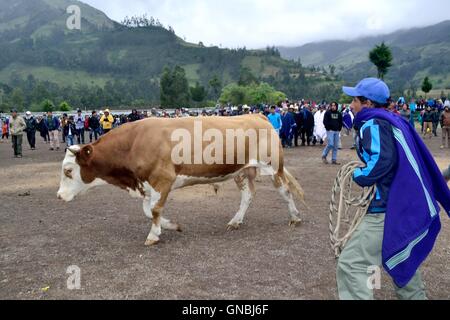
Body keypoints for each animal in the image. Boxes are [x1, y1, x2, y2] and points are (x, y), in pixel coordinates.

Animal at [57, 114, 306, 246]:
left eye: (68, 170)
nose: (59, 196)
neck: (133, 143)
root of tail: (258, 115)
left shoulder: (163, 179)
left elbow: (154, 210)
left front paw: (154, 235)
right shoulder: (147, 184)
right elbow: (148, 211)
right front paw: (171, 226)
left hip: (273, 167)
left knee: (285, 191)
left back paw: (295, 217)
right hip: (242, 172)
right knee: (247, 195)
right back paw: (236, 221)